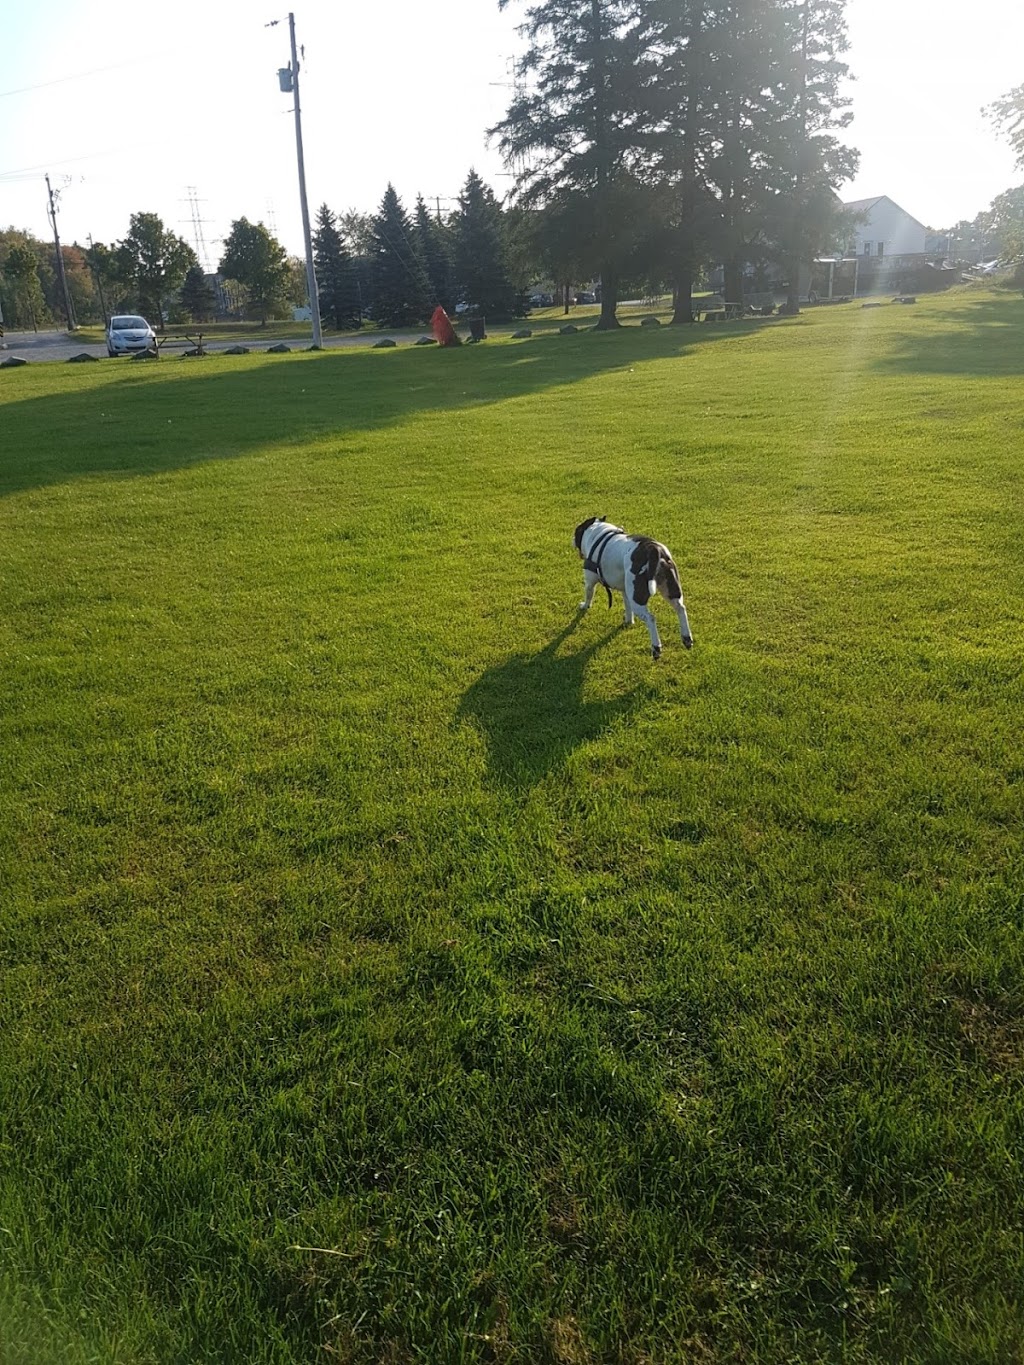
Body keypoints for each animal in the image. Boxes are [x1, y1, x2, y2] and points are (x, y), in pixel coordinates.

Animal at [573, 513, 693, 657]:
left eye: (577, 531)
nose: (572, 539)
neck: (597, 532)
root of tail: (654, 549)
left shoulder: (589, 582)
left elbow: (588, 596)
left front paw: (584, 606)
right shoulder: (626, 591)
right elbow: (627, 607)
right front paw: (628, 621)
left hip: (638, 598)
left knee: (651, 618)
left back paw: (656, 648)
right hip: (670, 590)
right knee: (680, 608)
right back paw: (686, 638)